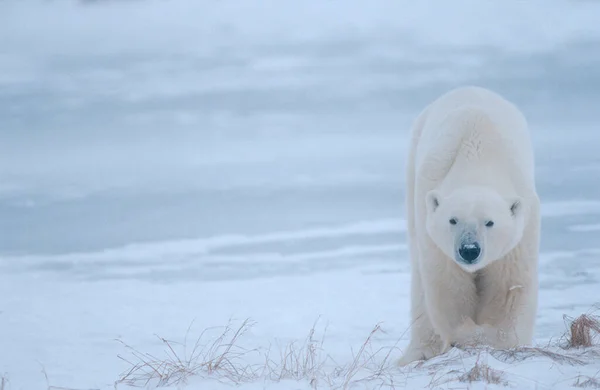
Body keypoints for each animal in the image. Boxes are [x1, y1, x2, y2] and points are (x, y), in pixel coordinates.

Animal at [396, 85, 540, 366]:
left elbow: (508, 286)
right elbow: (448, 284)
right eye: (453, 220)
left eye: (490, 222)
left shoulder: (521, 226)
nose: (469, 250)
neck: (477, 155)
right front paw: (465, 333)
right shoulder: (431, 226)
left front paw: (495, 338)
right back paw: (419, 351)